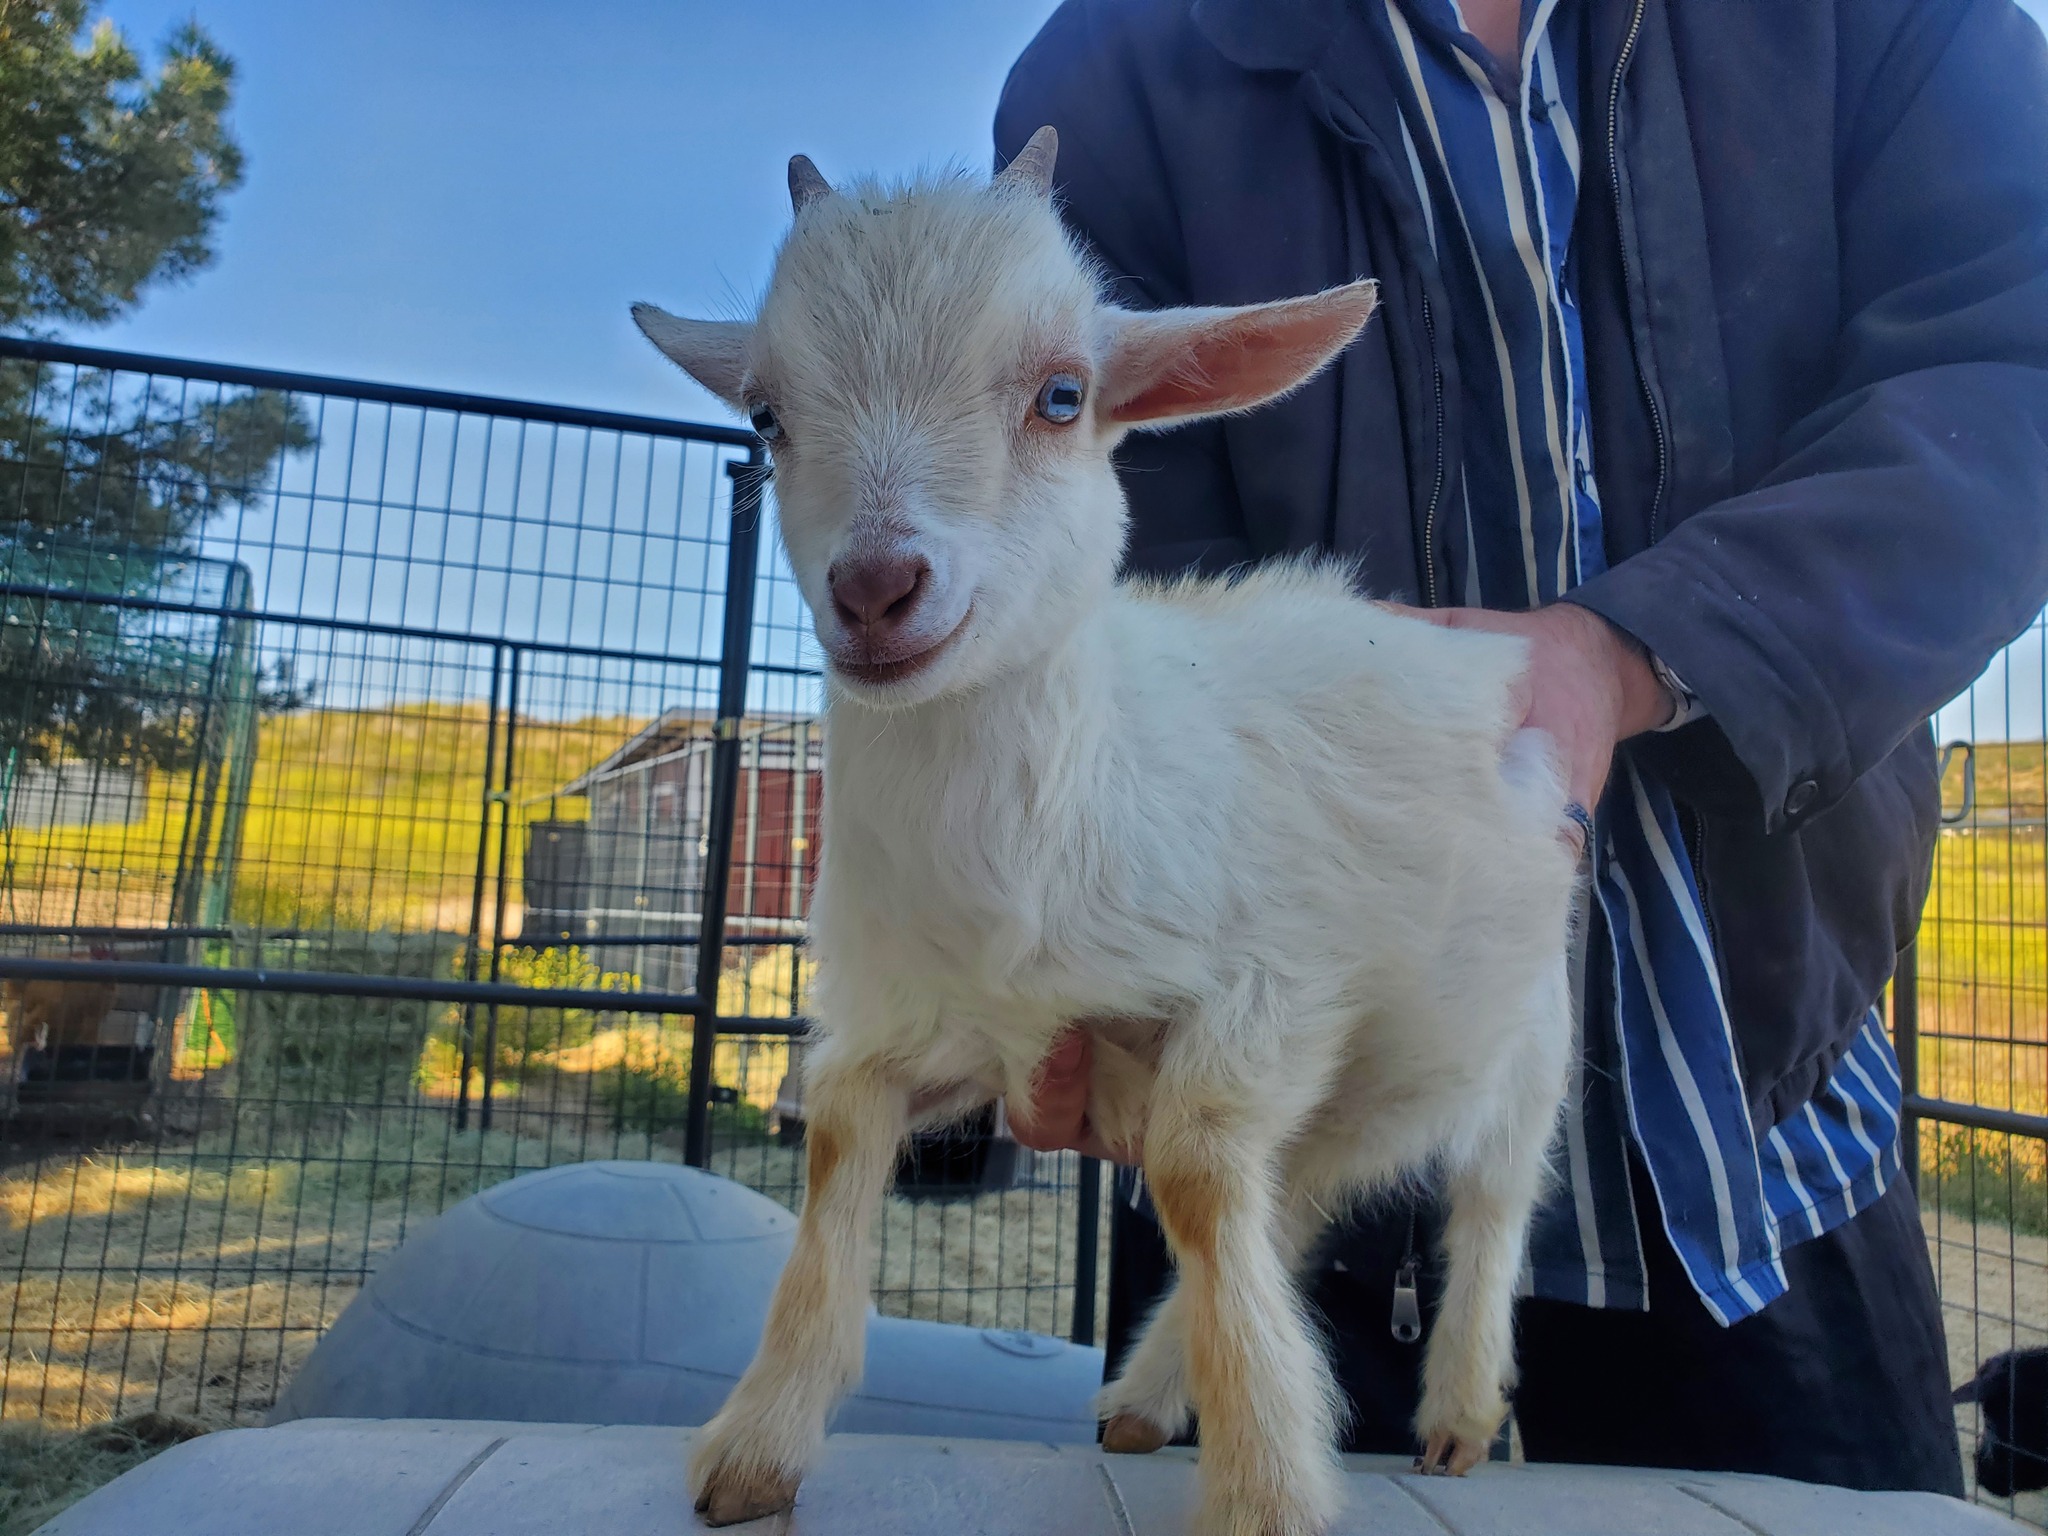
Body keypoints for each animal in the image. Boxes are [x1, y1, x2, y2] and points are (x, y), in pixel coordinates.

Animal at [634, 129, 1578, 1536]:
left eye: (1062, 396)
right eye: (765, 414)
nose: (875, 589)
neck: (1052, 826)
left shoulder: (1268, 989)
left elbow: (1191, 1169)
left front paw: (1263, 1484)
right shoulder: (930, 1021)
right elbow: (844, 1131)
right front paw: (759, 1437)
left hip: (1529, 1027)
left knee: (1490, 1197)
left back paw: (1456, 1406)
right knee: (1292, 1192)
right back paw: (1150, 1389)